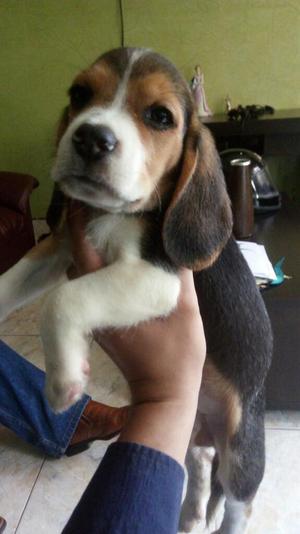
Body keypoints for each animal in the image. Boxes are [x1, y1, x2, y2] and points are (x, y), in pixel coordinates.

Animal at [0, 48, 272, 532]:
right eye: (79, 94)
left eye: (160, 116)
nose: (91, 139)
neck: (113, 213)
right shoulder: (59, 247)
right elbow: (11, 282)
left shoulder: (158, 278)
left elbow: (62, 300)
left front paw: (63, 381)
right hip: (195, 435)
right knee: (200, 464)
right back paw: (187, 516)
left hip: (242, 454)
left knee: (237, 502)